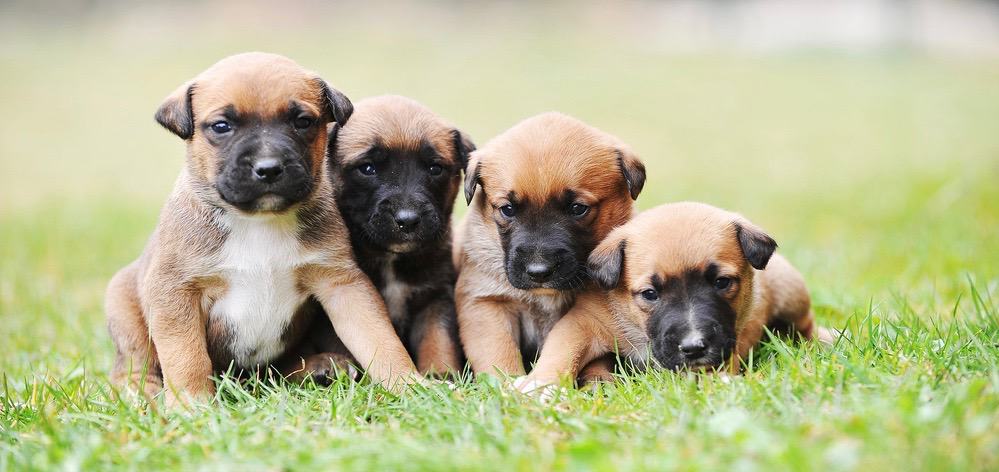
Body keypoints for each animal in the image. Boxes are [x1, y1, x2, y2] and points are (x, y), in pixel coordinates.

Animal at [107, 52, 420, 406]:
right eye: (222, 126)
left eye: (303, 122)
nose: (268, 168)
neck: (258, 222)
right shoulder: (175, 291)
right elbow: (186, 356)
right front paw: (192, 403)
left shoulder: (342, 284)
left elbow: (379, 339)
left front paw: (410, 385)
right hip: (122, 304)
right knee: (132, 364)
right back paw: (140, 390)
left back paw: (320, 367)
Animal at [324, 96, 472, 376]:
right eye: (367, 168)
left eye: (435, 168)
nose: (408, 220)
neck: (392, 259)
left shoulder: (435, 298)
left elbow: (438, 340)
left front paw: (440, 375)